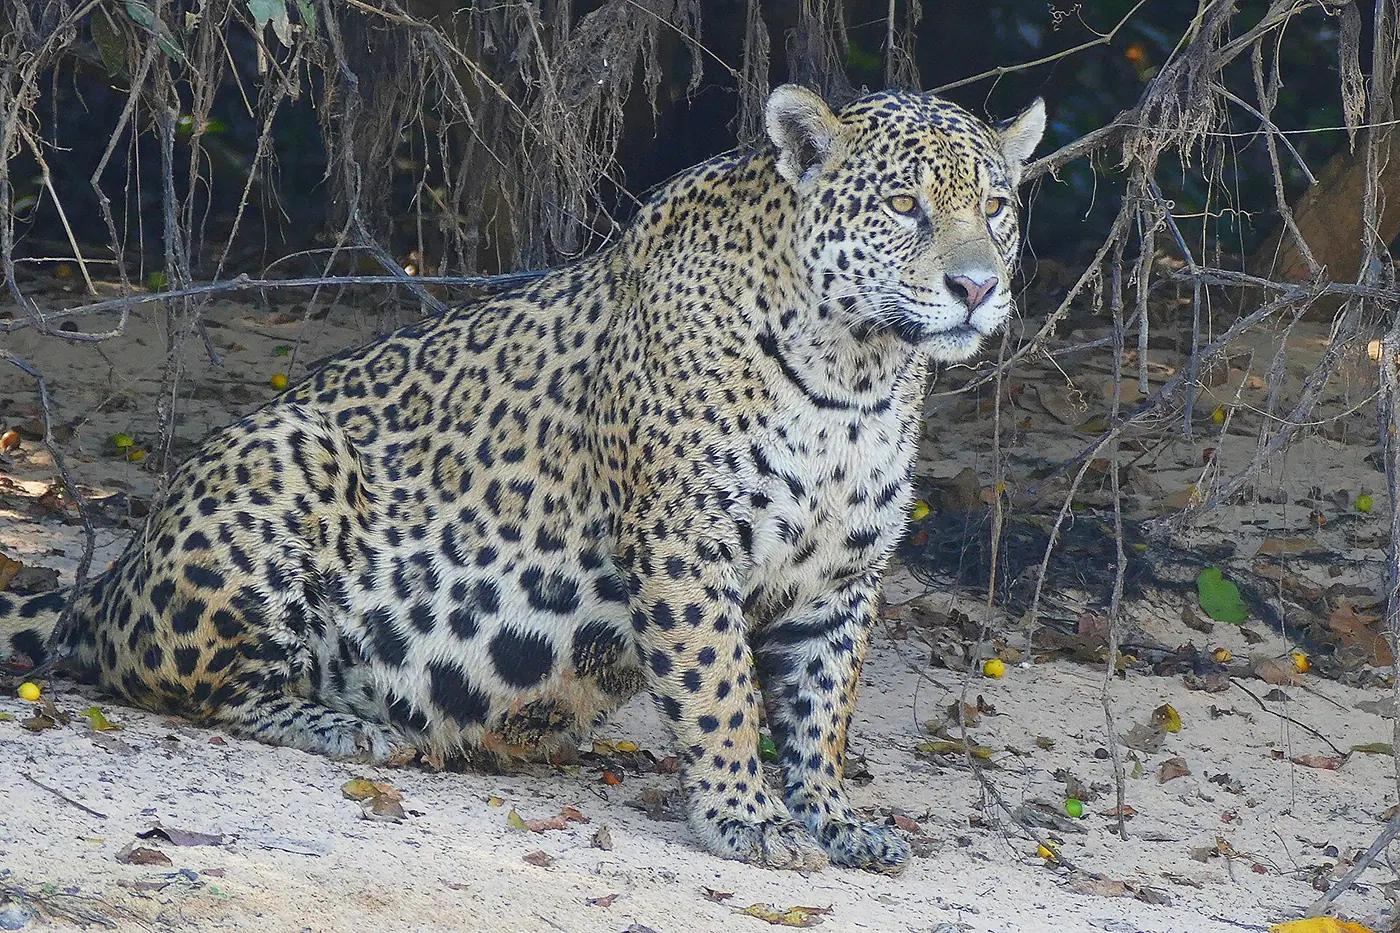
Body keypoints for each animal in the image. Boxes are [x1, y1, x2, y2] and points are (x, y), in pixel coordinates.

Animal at [1, 85, 1044, 873]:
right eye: (904, 206)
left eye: (996, 207)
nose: (976, 287)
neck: (858, 376)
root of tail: (116, 570)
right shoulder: (686, 540)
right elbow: (723, 690)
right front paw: (748, 815)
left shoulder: (842, 576)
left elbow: (823, 706)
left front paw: (833, 817)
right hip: (287, 457)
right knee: (190, 684)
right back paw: (349, 728)